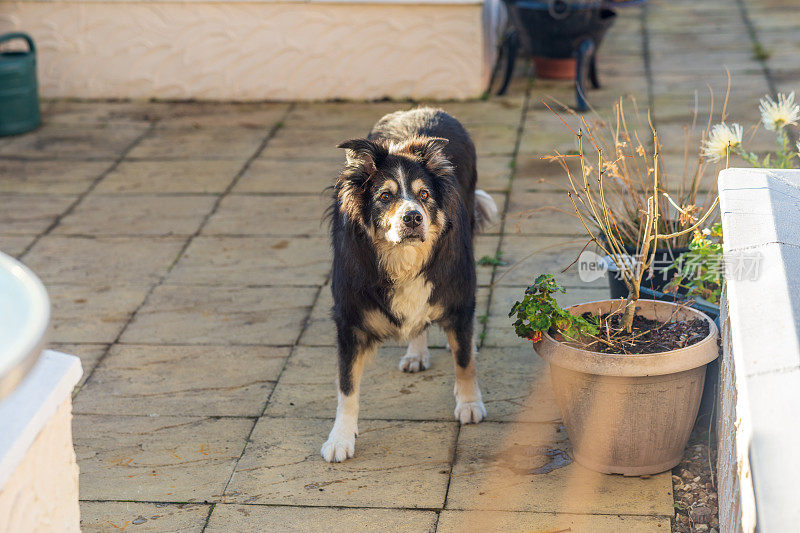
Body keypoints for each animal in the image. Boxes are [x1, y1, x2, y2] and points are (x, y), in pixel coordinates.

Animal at [322, 108, 496, 462]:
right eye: (385, 196)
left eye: (424, 195)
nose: (413, 217)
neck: (403, 259)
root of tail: (423, 110)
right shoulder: (349, 319)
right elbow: (346, 383)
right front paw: (340, 438)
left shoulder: (460, 297)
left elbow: (464, 362)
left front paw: (470, 403)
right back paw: (416, 352)